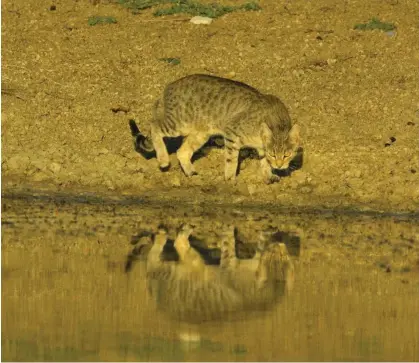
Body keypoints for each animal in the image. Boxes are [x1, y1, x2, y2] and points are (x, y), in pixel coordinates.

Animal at [133, 73, 300, 183]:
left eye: (287, 154)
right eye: (274, 154)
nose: (279, 165)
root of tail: (169, 86)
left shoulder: (261, 147)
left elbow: (264, 162)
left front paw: (269, 174)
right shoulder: (232, 132)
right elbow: (232, 160)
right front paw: (230, 178)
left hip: (200, 134)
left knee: (182, 152)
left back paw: (190, 172)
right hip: (178, 123)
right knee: (154, 126)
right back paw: (163, 159)